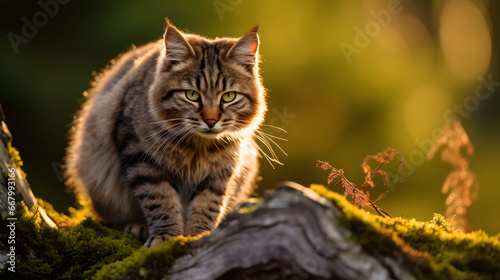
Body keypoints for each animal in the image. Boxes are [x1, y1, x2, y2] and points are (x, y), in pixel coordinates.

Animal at [67, 23, 270, 247]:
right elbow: (160, 200)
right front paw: (166, 237)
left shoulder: (220, 171)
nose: (210, 121)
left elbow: (208, 204)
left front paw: (199, 234)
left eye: (229, 96)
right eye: (192, 95)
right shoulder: (141, 157)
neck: (198, 146)